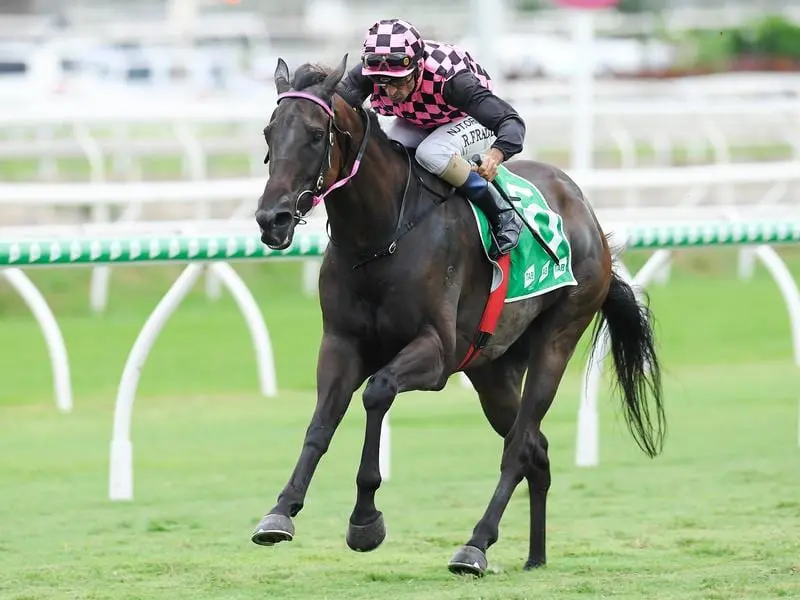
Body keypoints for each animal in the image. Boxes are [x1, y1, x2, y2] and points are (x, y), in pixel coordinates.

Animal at [253, 56, 664, 576]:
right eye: (269, 132)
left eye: (313, 134)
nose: (272, 219)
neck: (378, 238)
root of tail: (586, 210)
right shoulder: (341, 343)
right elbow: (321, 422)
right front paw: (280, 512)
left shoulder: (436, 353)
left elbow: (377, 393)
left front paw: (365, 520)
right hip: (492, 368)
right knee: (536, 448)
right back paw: (534, 556)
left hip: (559, 336)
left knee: (519, 447)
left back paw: (476, 545)